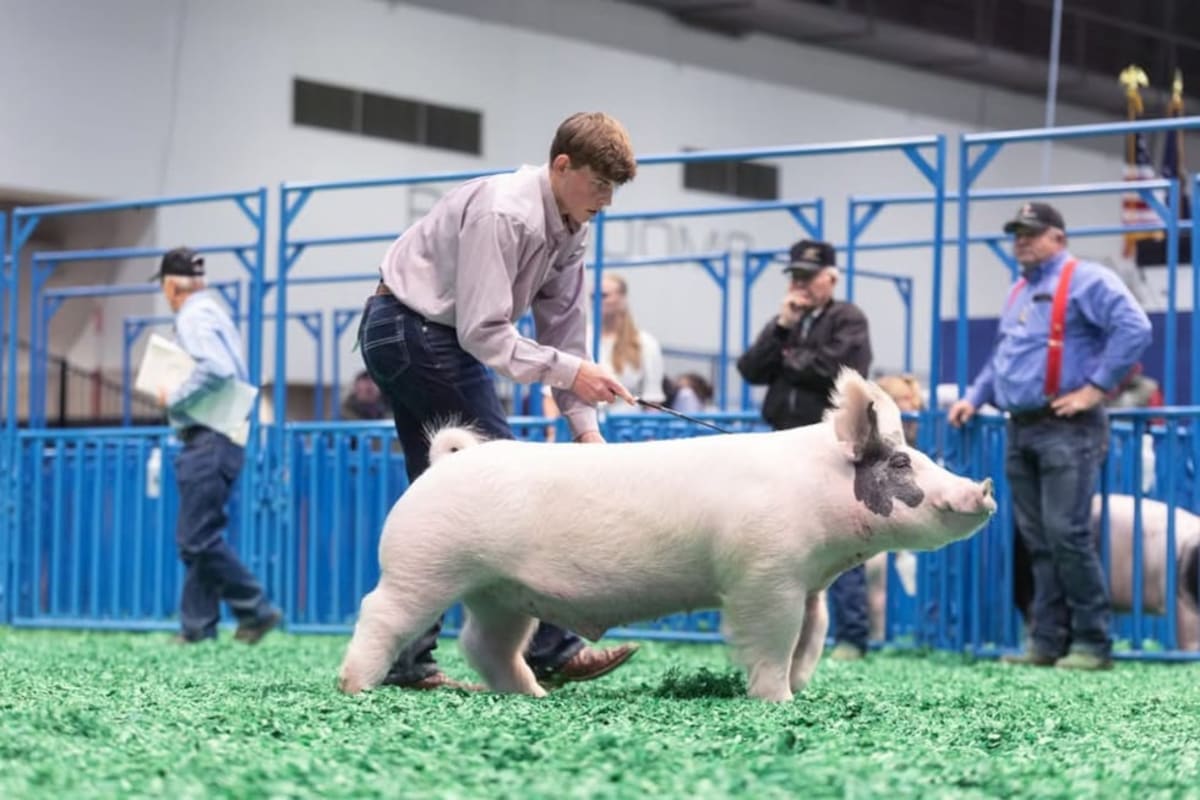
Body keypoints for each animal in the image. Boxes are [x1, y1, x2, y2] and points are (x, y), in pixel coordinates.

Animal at [338, 369, 997, 702]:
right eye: (903, 463)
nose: (983, 487)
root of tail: (448, 460)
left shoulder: (809, 583)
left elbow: (813, 636)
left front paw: (800, 686)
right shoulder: (764, 574)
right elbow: (774, 636)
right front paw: (777, 701)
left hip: (499, 591)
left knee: (485, 643)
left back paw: (534, 697)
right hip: (423, 565)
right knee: (382, 614)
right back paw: (355, 688)